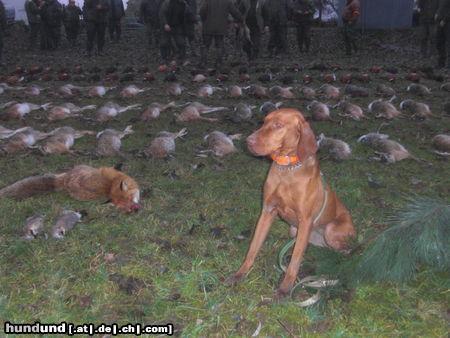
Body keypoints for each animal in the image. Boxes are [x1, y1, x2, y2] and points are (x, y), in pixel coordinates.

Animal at [229, 109, 356, 302]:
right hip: (295, 231)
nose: (248, 141)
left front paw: (285, 288)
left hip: (331, 230)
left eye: (278, 125)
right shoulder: (267, 211)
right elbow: (253, 248)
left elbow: (295, 261)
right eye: (264, 122)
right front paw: (240, 273)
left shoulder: (305, 220)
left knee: (347, 251)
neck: (287, 169)